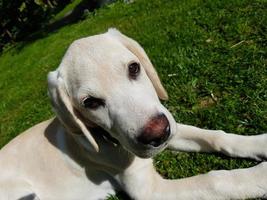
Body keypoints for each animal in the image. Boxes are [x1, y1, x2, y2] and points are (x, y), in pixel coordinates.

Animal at [0, 28, 267, 200]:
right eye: (90, 102)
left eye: (134, 68)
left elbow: (215, 136)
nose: (157, 135)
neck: (107, 140)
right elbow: (214, 180)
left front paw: (260, 143)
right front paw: (259, 176)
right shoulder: (150, 192)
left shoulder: (171, 126)